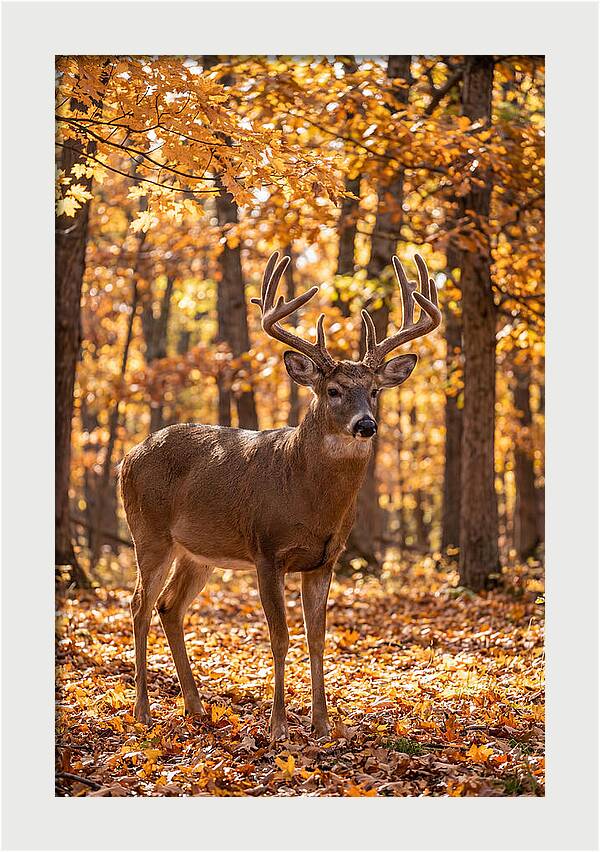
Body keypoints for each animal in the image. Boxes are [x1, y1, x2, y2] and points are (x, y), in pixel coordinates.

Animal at [119, 251, 441, 741]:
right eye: (333, 390)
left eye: (374, 391)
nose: (366, 425)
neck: (306, 496)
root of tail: (127, 456)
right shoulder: (266, 550)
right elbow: (280, 636)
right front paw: (278, 727)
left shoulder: (325, 560)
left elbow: (317, 638)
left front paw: (323, 725)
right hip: (149, 533)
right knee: (139, 605)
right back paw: (143, 712)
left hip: (198, 552)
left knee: (169, 607)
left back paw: (196, 706)